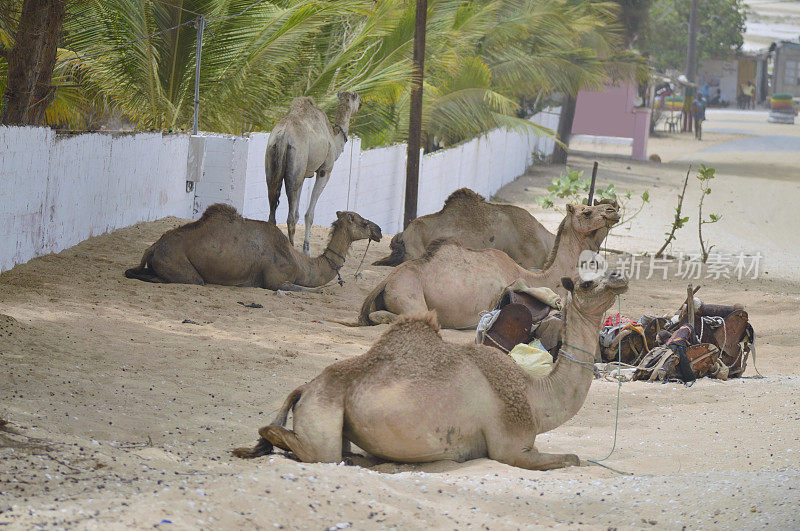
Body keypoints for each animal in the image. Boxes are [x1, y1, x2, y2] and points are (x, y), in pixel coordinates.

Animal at [125, 205, 382, 290]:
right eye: (363, 222)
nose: (379, 231)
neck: (301, 263)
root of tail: (153, 247)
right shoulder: (275, 279)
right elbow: (305, 290)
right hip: (178, 264)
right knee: (191, 280)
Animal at [234, 270, 628, 470]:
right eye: (588, 282)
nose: (619, 277)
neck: (534, 395)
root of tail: (306, 387)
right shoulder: (510, 444)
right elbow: (572, 459)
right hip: (324, 410)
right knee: (311, 449)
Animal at [266, 91, 362, 256]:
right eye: (356, 97)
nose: (361, 102)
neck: (334, 139)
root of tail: (283, 136)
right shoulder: (324, 170)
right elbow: (309, 214)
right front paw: (306, 250)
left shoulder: (304, 174)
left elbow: (298, 213)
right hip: (296, 163)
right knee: (289, 217)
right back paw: (292, 250)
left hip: (272, 163)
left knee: (273, 207)